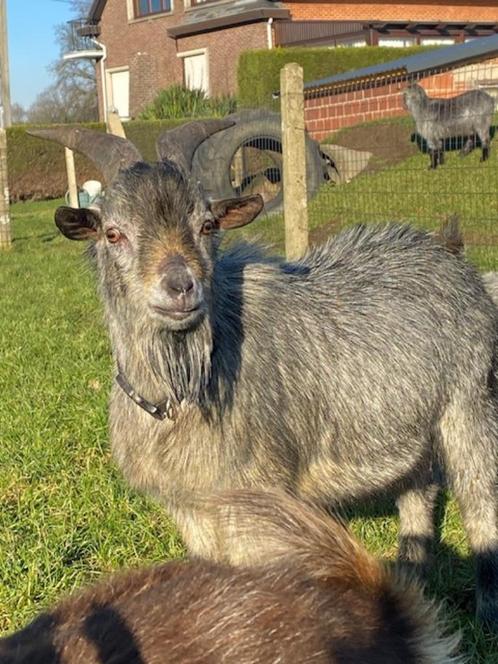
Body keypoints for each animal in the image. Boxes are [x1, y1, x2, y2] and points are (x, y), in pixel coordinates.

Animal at [30, 123, 498, 628]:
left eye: (208, 225)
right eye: (113, 233)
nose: (181, 286)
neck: (185, 389)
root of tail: (451, 253)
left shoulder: (261, 497)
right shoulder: (191, 508)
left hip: (471, 405)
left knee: (481, 505)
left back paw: (485, 615)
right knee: (419, 491)